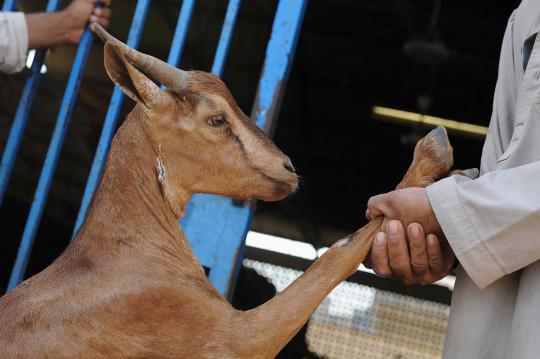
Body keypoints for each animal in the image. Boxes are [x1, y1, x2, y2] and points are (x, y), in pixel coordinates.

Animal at [1, 23, 460, 358]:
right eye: (217, 119)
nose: (288, 169)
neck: (121, 254)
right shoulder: (235, 338)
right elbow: (336, 255)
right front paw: (434, 154)